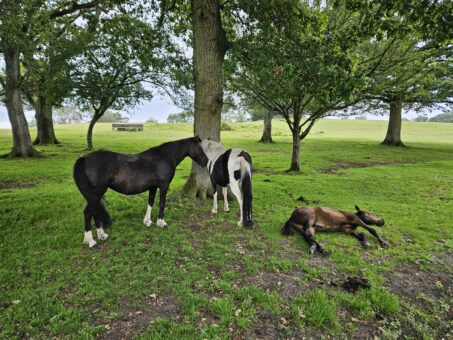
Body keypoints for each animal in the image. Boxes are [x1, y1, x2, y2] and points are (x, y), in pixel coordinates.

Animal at [74, 135, 208, 247]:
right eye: (200, 148)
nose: (206, 161)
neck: (165, 156)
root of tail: (84, 158)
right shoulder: (164, 185)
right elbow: (161, 203)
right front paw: (161, 223)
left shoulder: (153, 187)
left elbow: (151, 202)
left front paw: (147, 221)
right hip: (96, 193)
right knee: (88, 212)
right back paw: (90, 241)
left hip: (94, 196)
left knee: (93, 211)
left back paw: (101, 235)